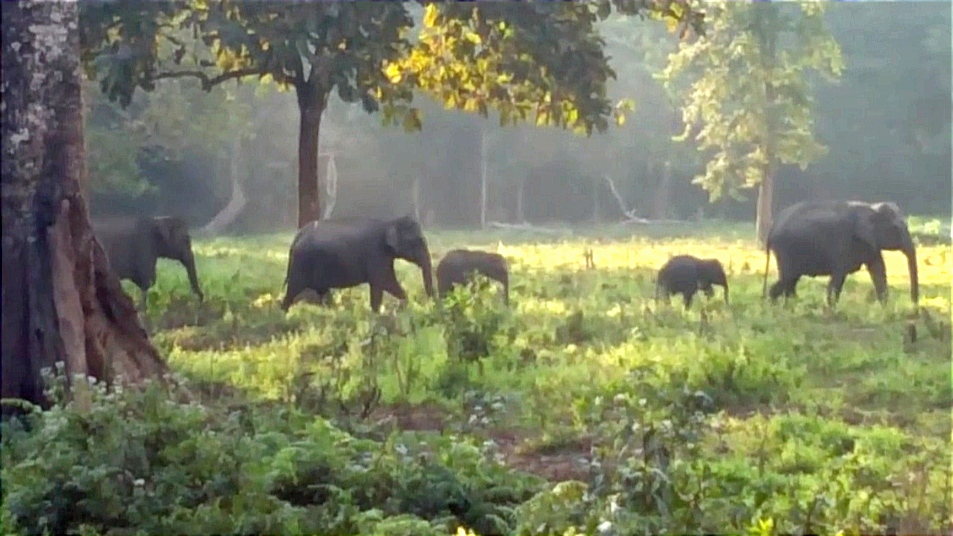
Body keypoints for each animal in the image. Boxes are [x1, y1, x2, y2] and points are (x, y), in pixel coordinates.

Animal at [280, 215, 435, 312]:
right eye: (418, 241)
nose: (430, 304)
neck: (389, 222)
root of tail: (297, 236)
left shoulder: (382, 257)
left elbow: (377, 287)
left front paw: (376, 313)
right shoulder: (376, 253)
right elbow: (385, 281)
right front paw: (405, 303)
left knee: (323, 292)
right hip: (301, 263)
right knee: (293, 289)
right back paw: (283, 313)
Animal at [761, 200, 919, 306]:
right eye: (897, 228)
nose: (914, 307)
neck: (870, 207)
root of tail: (771, 229)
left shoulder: (870, 244)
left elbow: (878, 270)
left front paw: (886, 310)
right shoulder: (842, 243)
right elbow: (838, 276)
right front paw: (831, 309)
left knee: (790, 280)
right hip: (784, 250)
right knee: (787, 278)